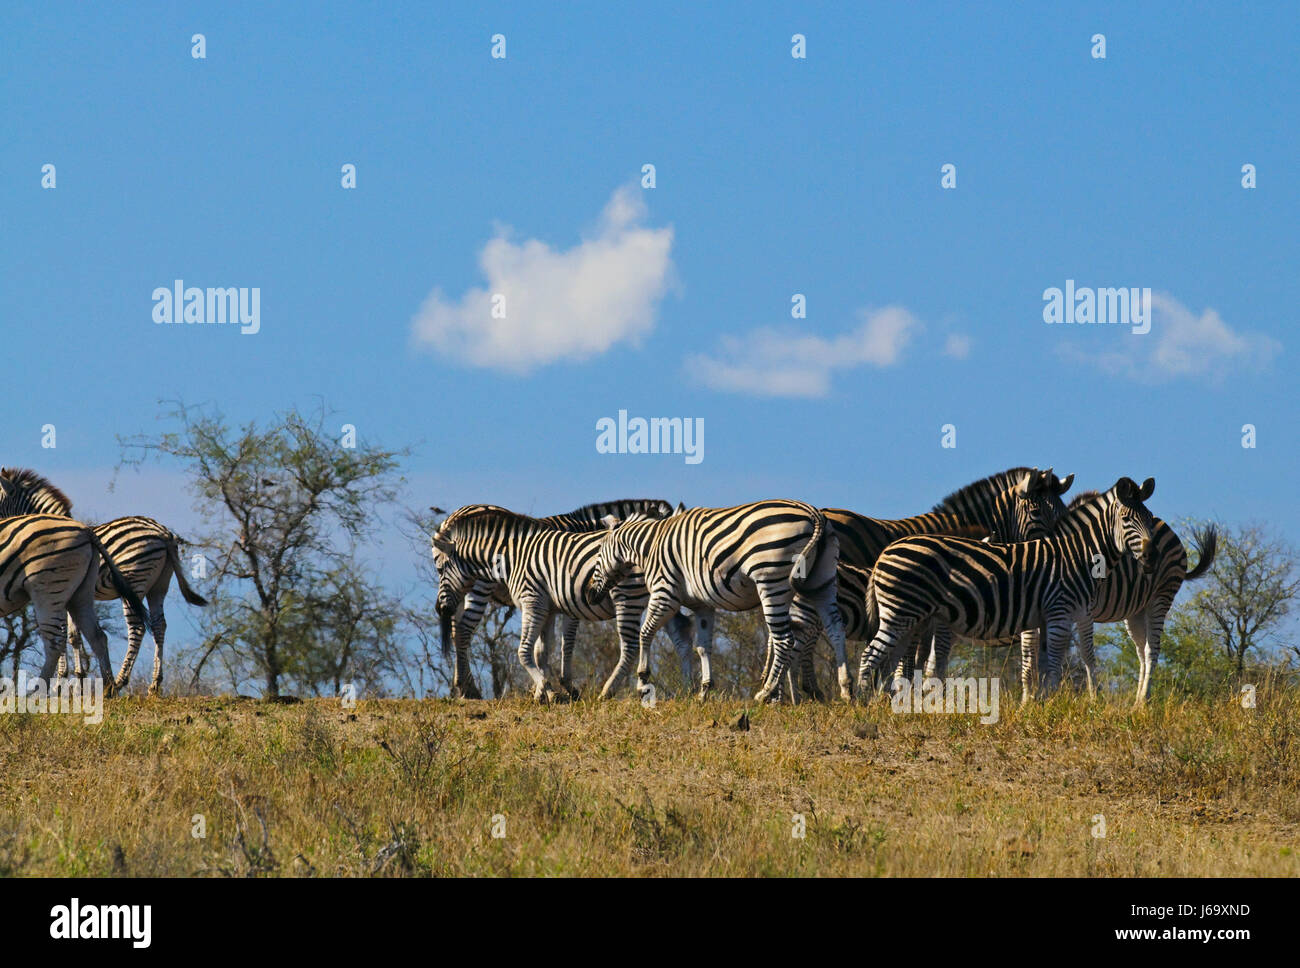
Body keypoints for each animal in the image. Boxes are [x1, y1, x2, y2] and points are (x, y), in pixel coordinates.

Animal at [0, 513, 149, 694]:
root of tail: (86, 530)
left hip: (48, 589)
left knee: (55, 643)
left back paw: (36, 693)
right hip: (81, 594)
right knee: (97, 636)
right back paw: (108, 689)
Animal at [431, 504, 696, 702]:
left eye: (441, 569)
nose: (439, 609)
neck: (512, 554)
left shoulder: (536, 602)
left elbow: (528, 650)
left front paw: (549, 689)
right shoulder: (548, 607)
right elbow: (541, 652)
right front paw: (546, 690)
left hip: (628, 596)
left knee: (631, 646)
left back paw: (608, 691)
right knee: (679, 634)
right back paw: (689, 689)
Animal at [589, 500, 845, 704]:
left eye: (598, 555)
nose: (591, 595)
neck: (649, 545)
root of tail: (813, 512)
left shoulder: (665, 593)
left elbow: (645, 633)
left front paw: (642, 682)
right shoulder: (703, 605)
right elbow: (703, 647)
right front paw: (703, 692)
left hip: (772, 581)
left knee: (785, 640)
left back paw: (766, 693)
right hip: (823, 582)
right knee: (835, 630)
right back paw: (846, 690)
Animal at [856, 476, 1160, 695]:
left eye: (1149, 518)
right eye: (1126, 520)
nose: (1152, 556)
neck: (1080, 553)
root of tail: (886, 551)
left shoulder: (1059, 616)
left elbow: (1053, 665)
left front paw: (1047, 705)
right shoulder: (1059, 613)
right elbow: (1053, 667)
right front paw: (1050, 705)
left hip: (908, 618)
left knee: (889, 660)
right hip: (900, 613)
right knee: (870, 655)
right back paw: (861, 702)